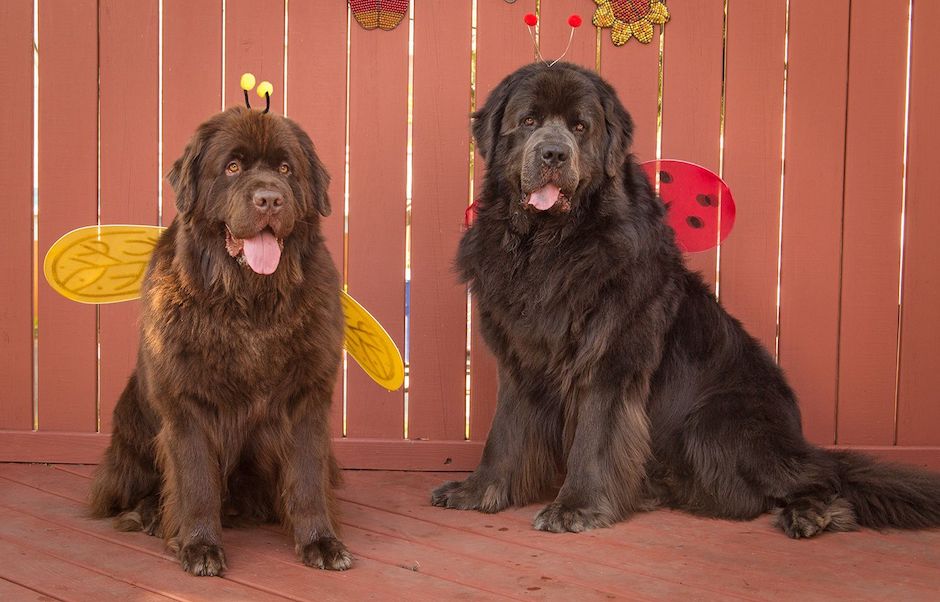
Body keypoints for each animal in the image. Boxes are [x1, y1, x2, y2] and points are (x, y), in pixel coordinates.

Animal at [90, 105, 348, 576]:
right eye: (232, 168)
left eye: (285, 169)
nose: (269, 199)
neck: (249, 304)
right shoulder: (186, 402)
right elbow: (196, 480)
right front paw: (200, 546)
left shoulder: (307, 397)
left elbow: (306, 476)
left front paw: (321, 541)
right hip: (131, 418)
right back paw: (151, 515)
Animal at [434, 63, 940, 536]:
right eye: (529, 121)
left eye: (580, 127)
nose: (554, 153)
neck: (550, 245)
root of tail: (797, 437)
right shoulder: (520, 359)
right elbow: (504, 433)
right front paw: (478, 491)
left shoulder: (610, 361)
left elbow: (593, 440)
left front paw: (574, 507)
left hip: (717, 423)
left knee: (819, 477)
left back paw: (810, 514)